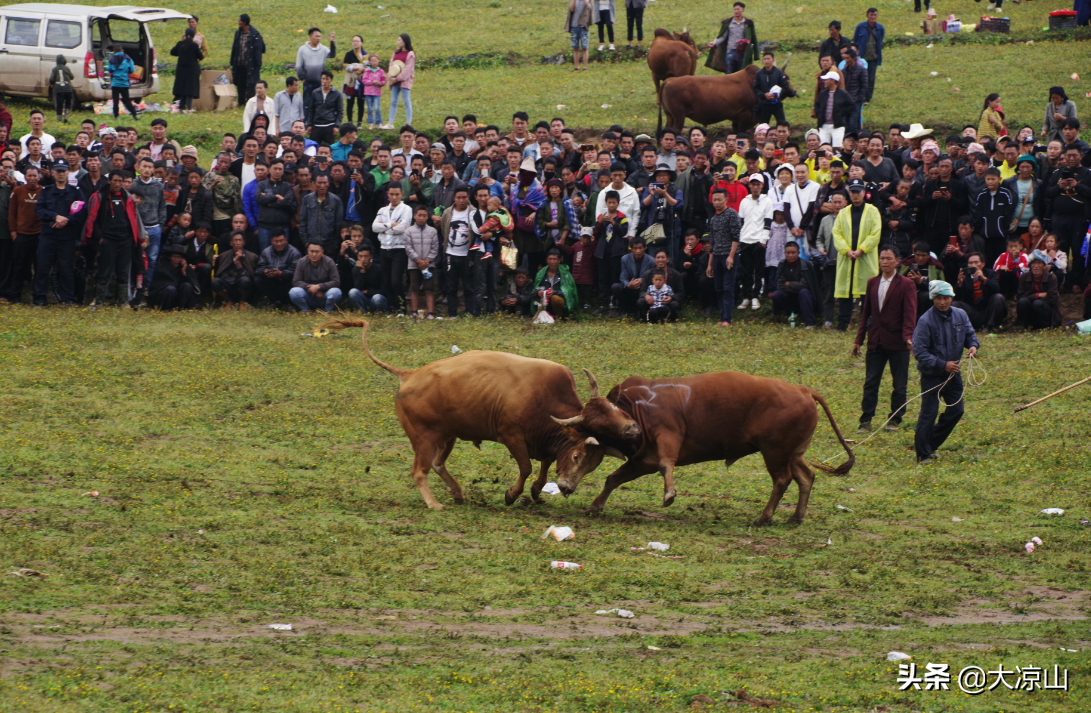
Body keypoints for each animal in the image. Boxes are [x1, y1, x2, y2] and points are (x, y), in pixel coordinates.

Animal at [558, 370, 855, 527]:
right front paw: (596, 505)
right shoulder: (644, 460)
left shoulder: (668, 435)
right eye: (598, 429)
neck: (639, 408)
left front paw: (669, 493)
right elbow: (614, 478)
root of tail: (803, 390)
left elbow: (667, 464)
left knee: (783, 480)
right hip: (793, 453)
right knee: (806, 476)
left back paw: (765, 516)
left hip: (776, 452)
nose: (632, 429)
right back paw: (795, 516)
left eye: (612, 409)